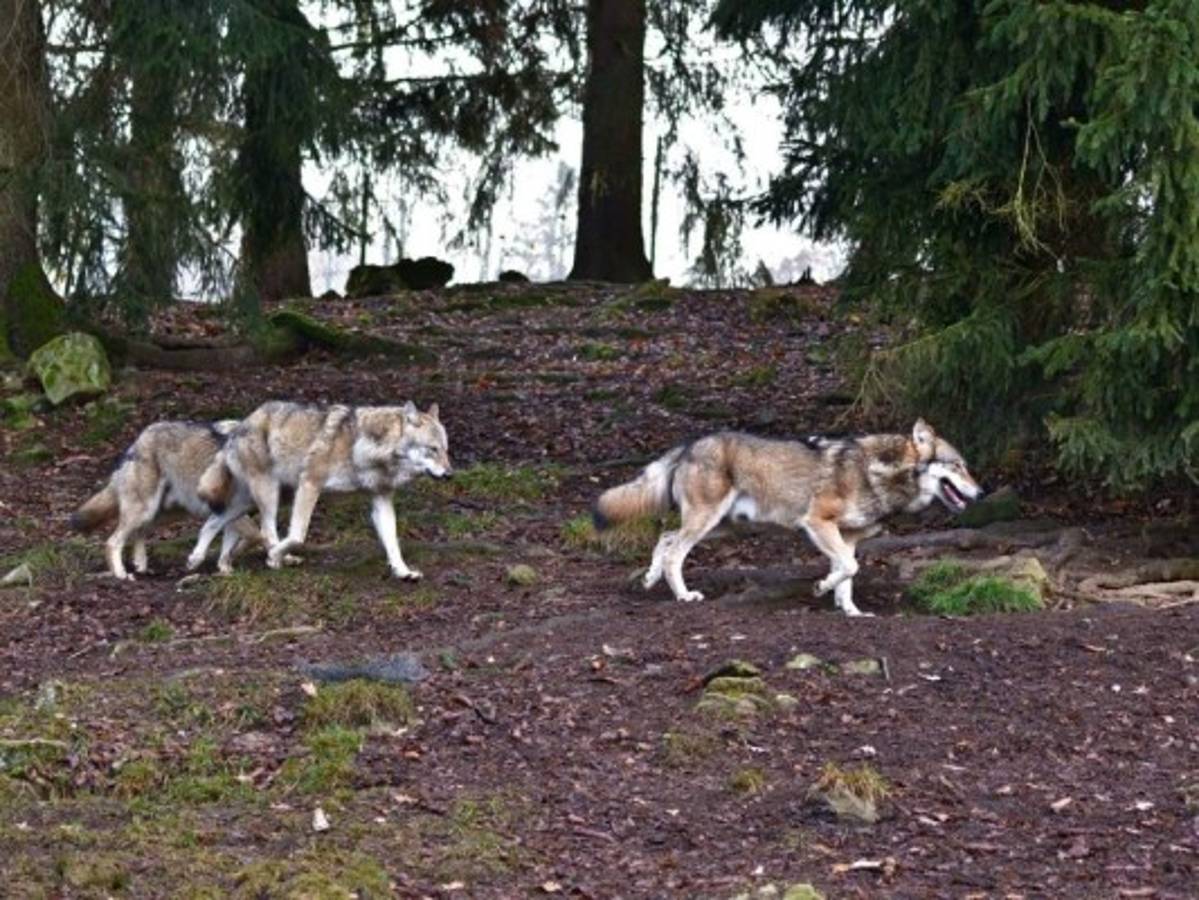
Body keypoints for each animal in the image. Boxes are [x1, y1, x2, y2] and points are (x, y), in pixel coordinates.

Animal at [72, 420, 259, 580]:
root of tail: (138, 440)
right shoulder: (232, 509)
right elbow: (255, 535)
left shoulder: (234, 514)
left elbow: (234, 543)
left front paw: (226, 569)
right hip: (146, 510)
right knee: (113, 541)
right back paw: (121, 574)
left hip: (168, 512)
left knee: (140, 531)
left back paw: (140, 564)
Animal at [197, 400, 452, 579]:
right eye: (433, 449)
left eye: (446, 450)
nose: (450, 475)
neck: (362, 447)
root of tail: (241, 424)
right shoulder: (310, 484)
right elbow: (298, 536)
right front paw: (275, 557)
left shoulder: (381, 498)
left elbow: (392, 542)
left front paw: (403, 571)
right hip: (269, 494)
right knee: (266, 530)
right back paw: (277, 558)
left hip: (257, 499)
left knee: (215, 521)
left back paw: (201, 559)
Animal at [593, 419, 983, 616]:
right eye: (958, 466)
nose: (981, 493)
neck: (880, 473)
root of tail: (689, 445)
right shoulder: (818, 523)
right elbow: (847, 568)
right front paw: (821, 588)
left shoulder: (849, 538)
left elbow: (848, 574)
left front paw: (850, 611)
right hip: (708, 522)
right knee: (675, 551)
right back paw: (684, 596)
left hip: (722, 527)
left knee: (664, 537)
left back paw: (649, 579)